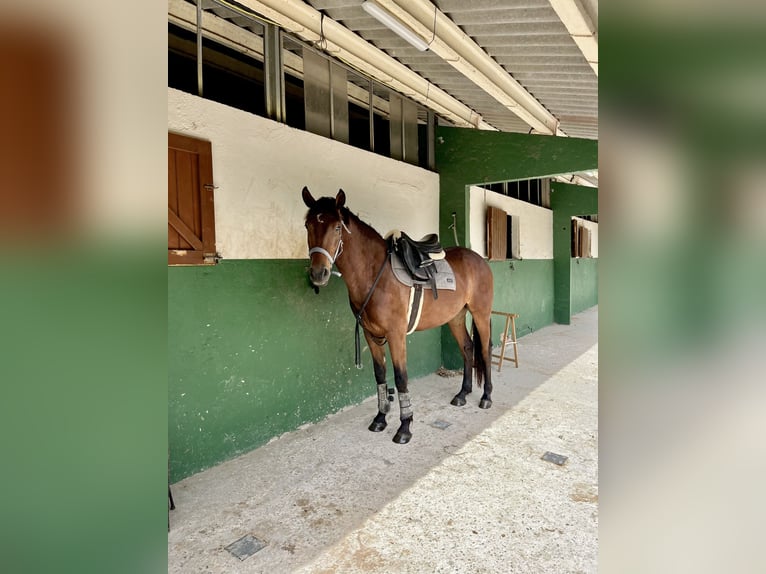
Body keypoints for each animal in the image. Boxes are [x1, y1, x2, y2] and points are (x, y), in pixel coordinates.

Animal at [302, 187, 495, 444]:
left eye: (337, 228)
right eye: (308, 225)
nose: (318, 273)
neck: (376, 274)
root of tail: (479, 259)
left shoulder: (396, 335)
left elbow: (401, 378)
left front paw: (404, 427)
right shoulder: (371, 335)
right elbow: (380, 375)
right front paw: (380, 418)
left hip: (481, 314)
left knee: (484, 350)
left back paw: (486, 397)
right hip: (455, 318)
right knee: (468, 347)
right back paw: (462, 394)